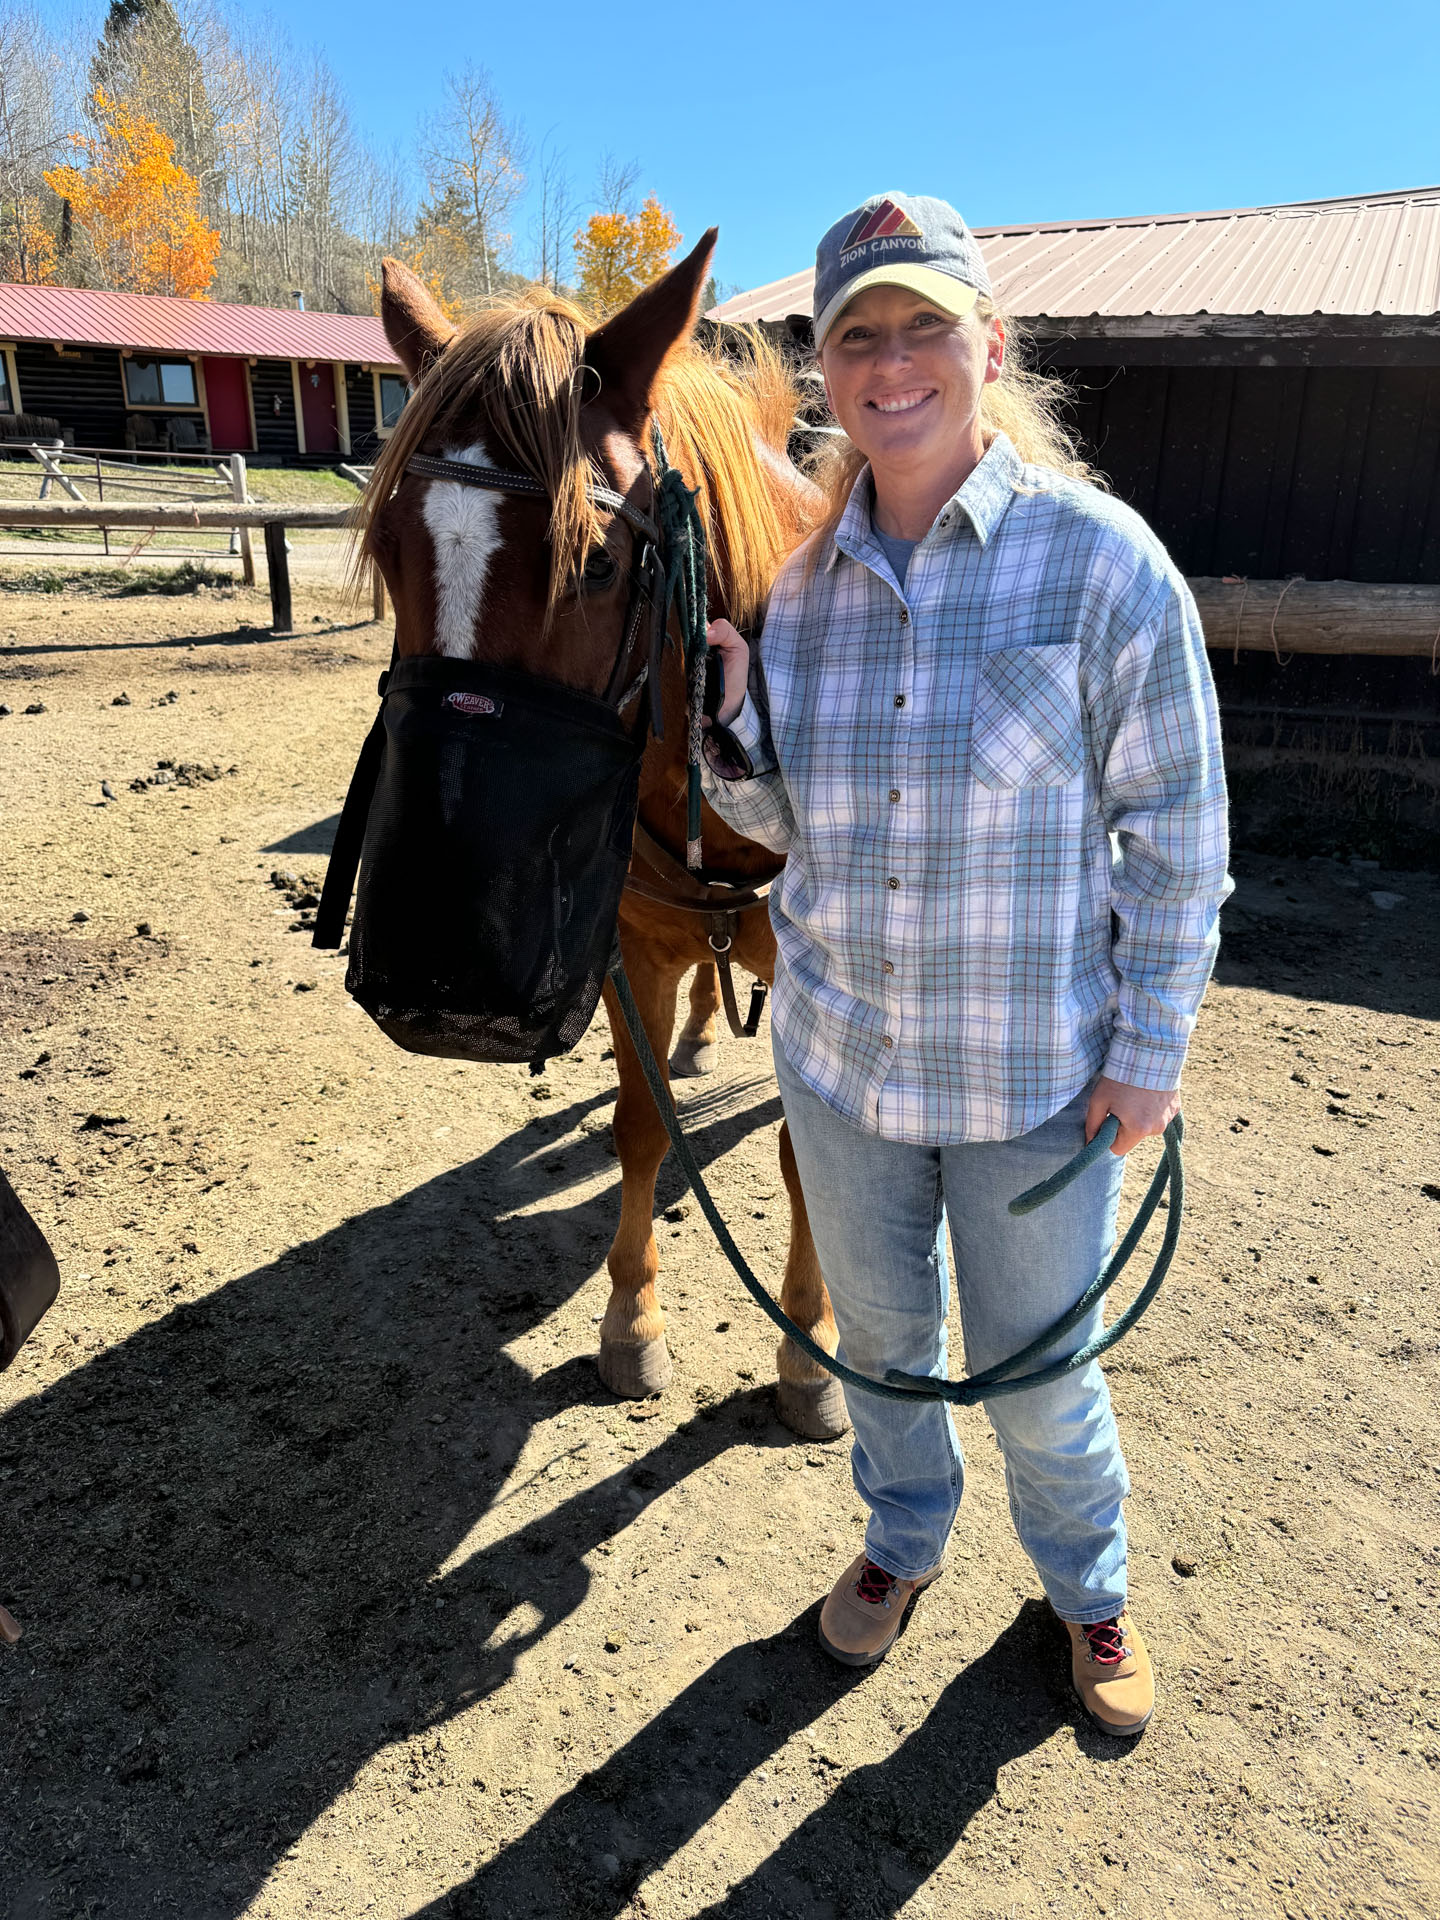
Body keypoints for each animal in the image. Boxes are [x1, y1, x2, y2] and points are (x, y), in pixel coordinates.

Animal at [360, 228, 852, 1443]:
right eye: (388, 544)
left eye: (595, 561)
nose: (443, 978)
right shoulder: (629, 949)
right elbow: (639, 1125)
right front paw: (632, 1323)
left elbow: (809, 1155)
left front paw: (810, 1351)